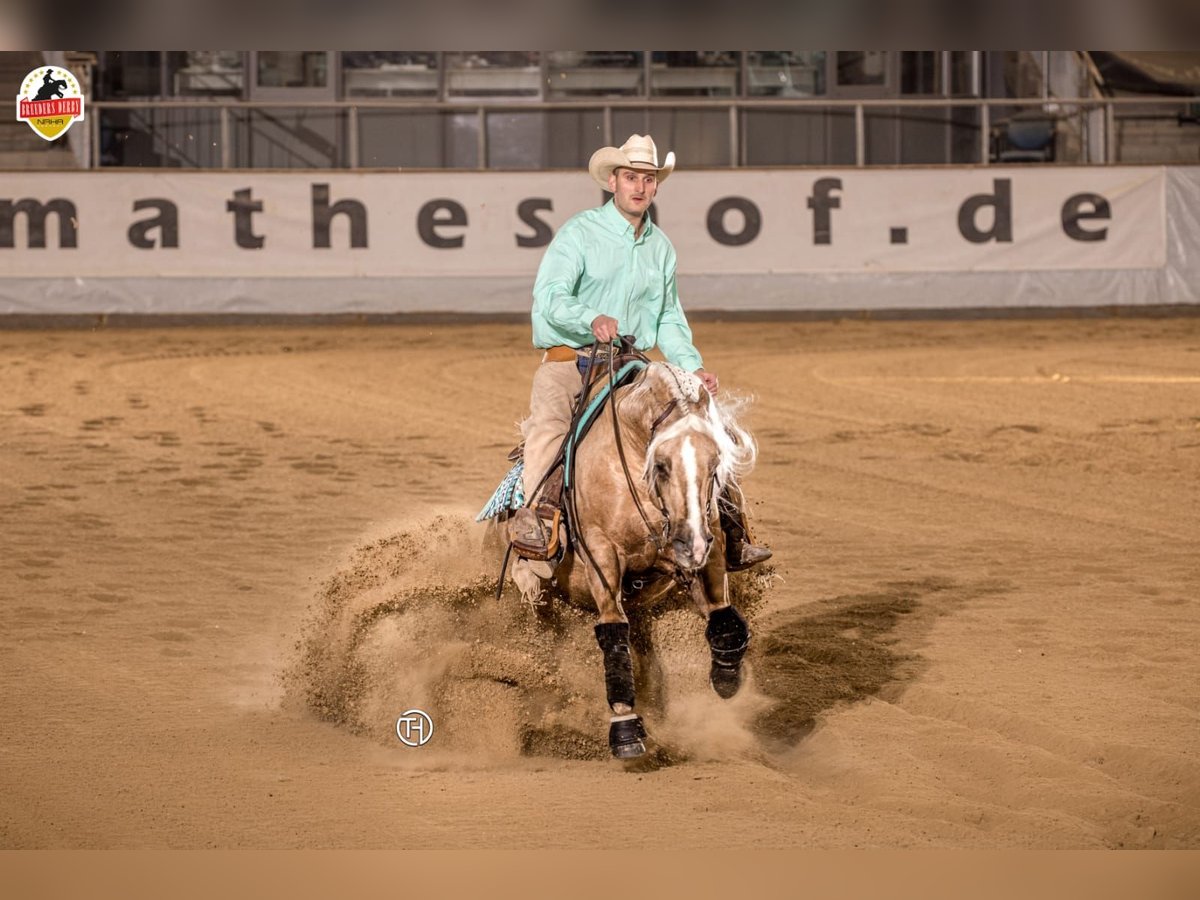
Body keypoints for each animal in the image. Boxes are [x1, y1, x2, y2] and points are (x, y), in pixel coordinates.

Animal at [508, 355, 753, 758]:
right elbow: (613, 634)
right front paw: (624, 728)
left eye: (715, 461)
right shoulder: (601, 552)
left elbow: (725, 620)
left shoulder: (709, 539)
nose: (691, 544)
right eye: (662, 464)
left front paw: (727, 677)